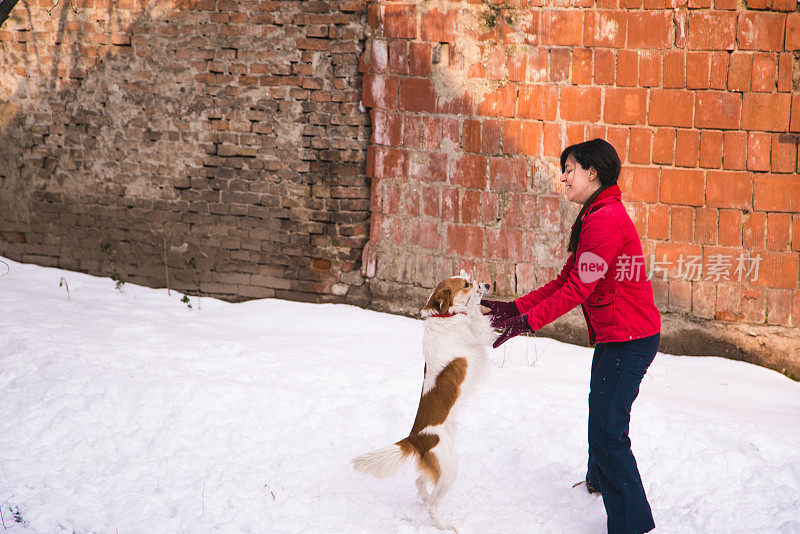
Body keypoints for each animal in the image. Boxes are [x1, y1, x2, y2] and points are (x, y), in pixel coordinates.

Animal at [354, 274, 496, 532]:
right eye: (466, 284)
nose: (489, 284)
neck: (444, 316)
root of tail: (415, 438)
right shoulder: (480, 334)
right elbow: (476, 315)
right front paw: (475, 299)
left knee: (420, 481)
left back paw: (423, 496)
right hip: (449, 468)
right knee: (432, 503)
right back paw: (443, 524)